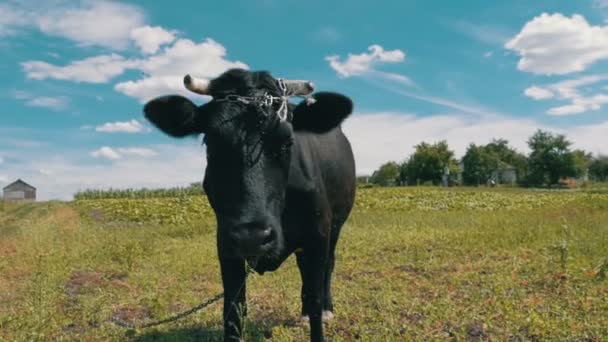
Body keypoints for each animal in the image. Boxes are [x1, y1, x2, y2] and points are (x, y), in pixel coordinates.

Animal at [144, 68, 356, 340]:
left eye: (287, 142)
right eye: (210, 142)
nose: (251, 237)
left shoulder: (319, 232)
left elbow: (316, 296)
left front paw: (319, 311)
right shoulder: (225, 243)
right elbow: (233, 308)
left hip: (335, 227)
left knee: (327, 267)